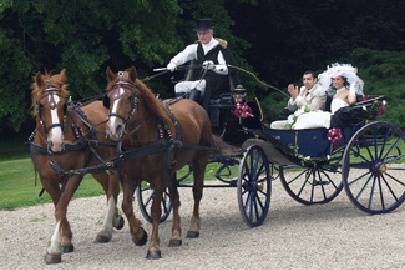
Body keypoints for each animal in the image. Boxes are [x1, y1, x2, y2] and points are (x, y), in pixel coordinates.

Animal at [30, 70, 123, 264]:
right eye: (41, 105)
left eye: (63, 105)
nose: (57, 141)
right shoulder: (47, 178)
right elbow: (59, 204)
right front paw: (66, 239)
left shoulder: (74, 174)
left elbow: (61, 206)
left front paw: (54, 249)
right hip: (96, 166)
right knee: (108, 187)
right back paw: (114, 220)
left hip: (113, 161)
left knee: (113, 190)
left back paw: (106, 229)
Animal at [104, 66, 215, 258]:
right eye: (109, 98)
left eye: (130, 97)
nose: (113, 128)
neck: (141, 142)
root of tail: (196, 107)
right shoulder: (131, 176)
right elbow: (127, 206)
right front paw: (139, 235)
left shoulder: (158, 177)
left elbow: (156, 209)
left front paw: (154, 246)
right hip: (171, 170)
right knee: (175, 198)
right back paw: (176, 235)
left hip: (199, 161)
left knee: (196, 193)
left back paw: (193, 227)